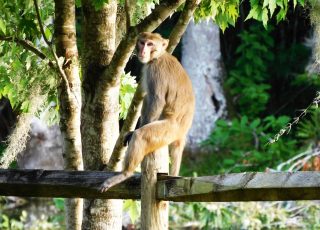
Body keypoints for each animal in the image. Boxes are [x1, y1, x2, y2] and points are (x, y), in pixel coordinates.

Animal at [99, 31, 195, 191]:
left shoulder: (155, 70)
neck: (158, 56)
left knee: (142, 135)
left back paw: (126, 173)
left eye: (150, 44)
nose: (143, 51)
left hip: (169, 130)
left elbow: (157, 100)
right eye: (142, 42)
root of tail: (183, 131)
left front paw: (135, 132)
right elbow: (147, 98)